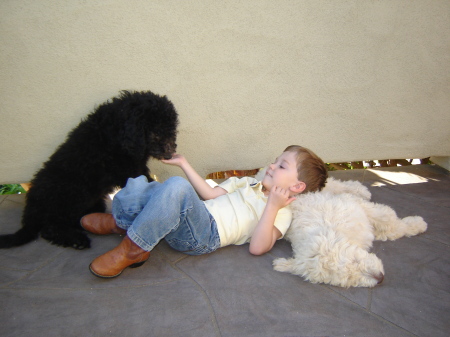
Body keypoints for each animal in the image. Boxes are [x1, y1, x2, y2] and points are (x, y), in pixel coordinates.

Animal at [0, 90, 179, 248]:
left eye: (172, 130)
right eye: (155, 133)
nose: (171, 153)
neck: (116, 131)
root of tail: (31, 210)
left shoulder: (137, 165)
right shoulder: (128, 169)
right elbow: (147, 183)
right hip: (72, 194)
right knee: (50, 227)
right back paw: (75, 240)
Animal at [272, 176, 428, 286]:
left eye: (355, 260)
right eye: (348, 279)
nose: (380, 279)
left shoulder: (356, 206)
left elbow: (387, 219)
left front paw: (417, 224)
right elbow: (388, 228)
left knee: (336, 184)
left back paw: (361, 190)